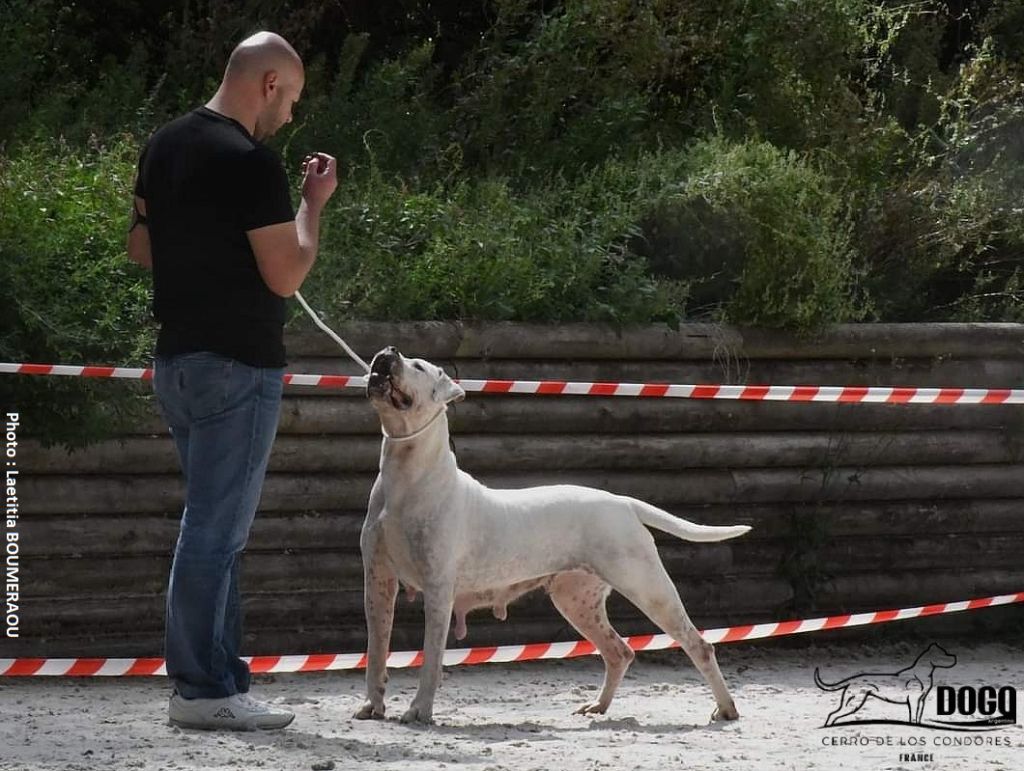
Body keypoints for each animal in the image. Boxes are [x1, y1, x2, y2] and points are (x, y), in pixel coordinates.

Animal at [356, 346, 749, 724]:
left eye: (418, 366)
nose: (387, 351)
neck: (408, 474)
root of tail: (623, 502)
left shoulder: (438, 588)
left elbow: (431, 658)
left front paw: (418, 710)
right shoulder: (378, 580)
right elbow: (376, 649)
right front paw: (372, 705)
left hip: (647, 585)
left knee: (698, 645)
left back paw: (725, 709)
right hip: (575, 597)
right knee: (619, 651)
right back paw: (598, 707)